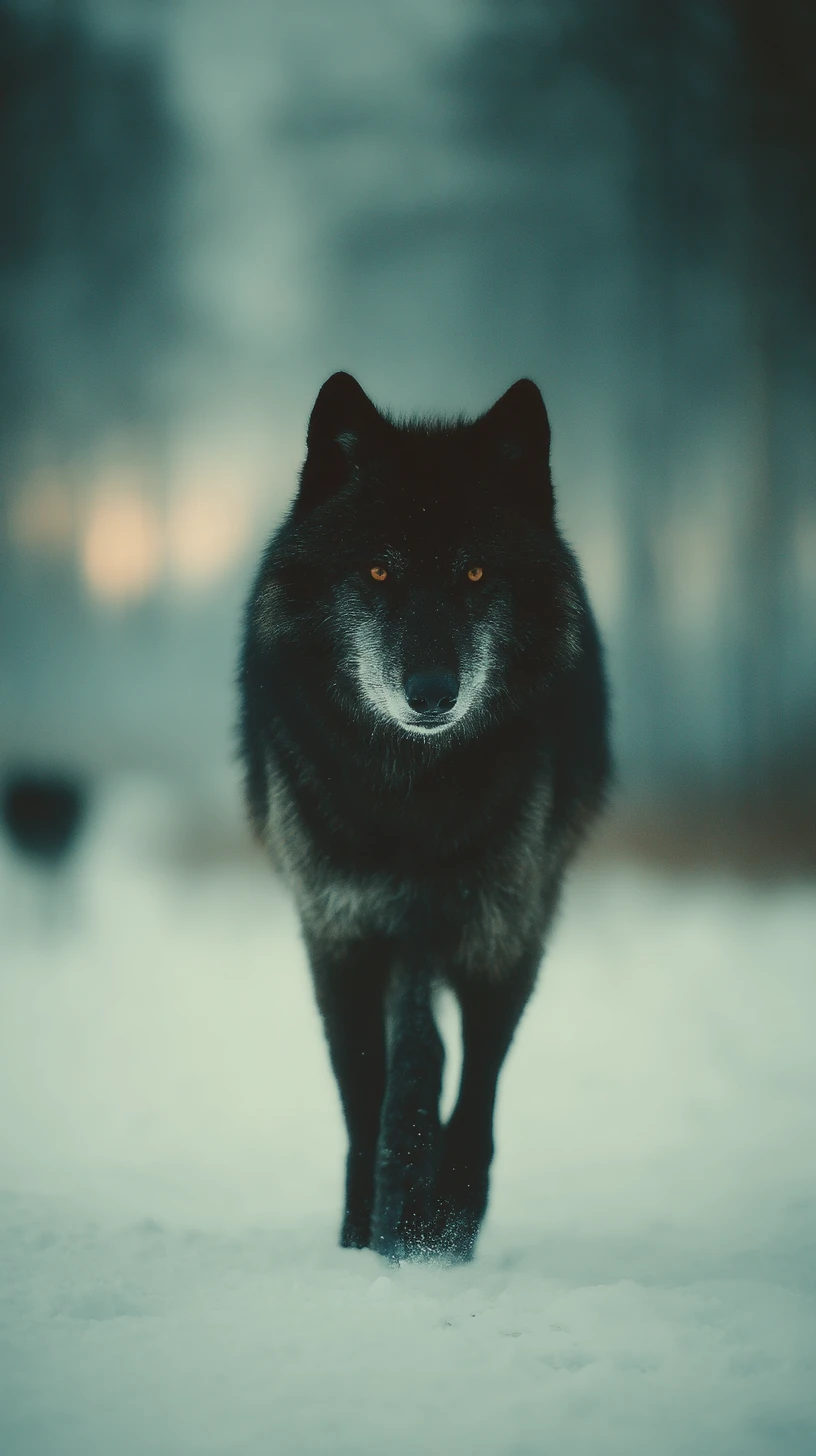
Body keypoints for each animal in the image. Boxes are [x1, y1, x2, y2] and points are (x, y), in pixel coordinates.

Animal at [239, 371, 610, 1261]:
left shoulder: (498, 937)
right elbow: (363, 1091)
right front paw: (366, 1230)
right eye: (377, 571)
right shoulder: (340, 937)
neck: (410, 799)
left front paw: (442, 1228)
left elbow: (476, 1093)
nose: (433, 693)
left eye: (475, 574)